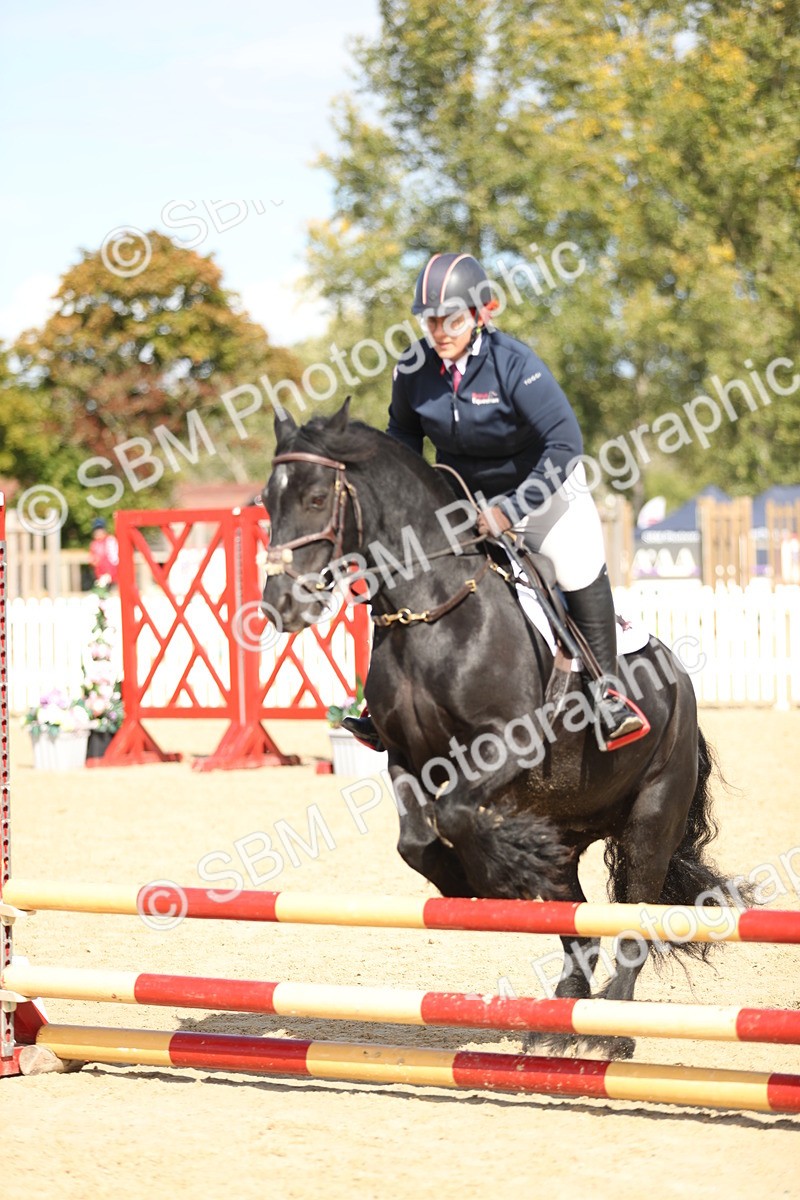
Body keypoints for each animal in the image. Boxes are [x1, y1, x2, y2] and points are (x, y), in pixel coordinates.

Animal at [261, 400, 742, 1059]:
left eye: (314, 498)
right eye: (266, 500)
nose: (279, 604)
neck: (430, 610)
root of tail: (681, 682)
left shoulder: (505, 744)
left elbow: (456, 813)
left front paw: (491, 872)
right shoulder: (406, 756)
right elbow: (416, 838)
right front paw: (470, 877)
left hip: (651, 819)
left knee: (630, 925)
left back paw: (613, 1033)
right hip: (572, 828)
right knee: (577, 926)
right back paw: (558, 1019)